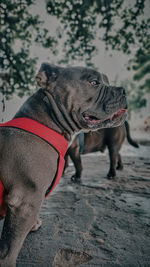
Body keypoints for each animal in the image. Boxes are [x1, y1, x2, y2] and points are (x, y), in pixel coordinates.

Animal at [0, 63, 127, 266]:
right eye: (94, 82)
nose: (123, 91)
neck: (46, 123)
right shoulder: (25, 201)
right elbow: (9, 249)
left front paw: (34, 224)